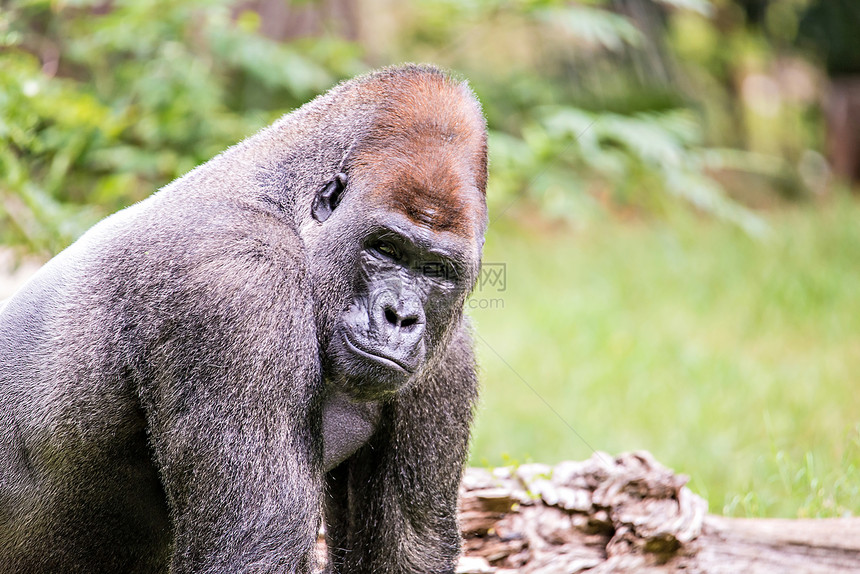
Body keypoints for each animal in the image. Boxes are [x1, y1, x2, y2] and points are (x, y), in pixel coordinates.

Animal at [0, 64, 488, 574]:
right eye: (385, 249)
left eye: (436, 270)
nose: (400, 316)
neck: (288, 207)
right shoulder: (237, 283)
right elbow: (254, 549)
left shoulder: (450, 353)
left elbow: (407, 547)